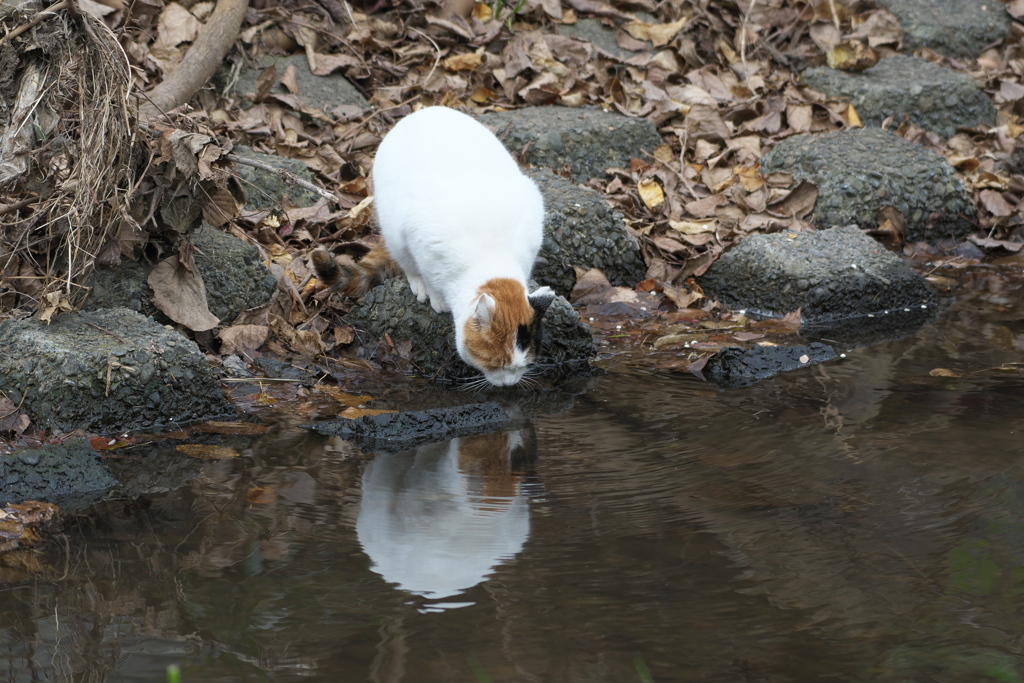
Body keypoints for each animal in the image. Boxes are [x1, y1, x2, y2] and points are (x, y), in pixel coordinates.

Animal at [311, 105, 557, 385]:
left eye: (523, 366)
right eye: (497, 364)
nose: (509, 383)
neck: (492, 258)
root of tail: (426, 109)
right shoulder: (421, 238)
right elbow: (429, 275)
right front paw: (436, 296)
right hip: (392, 226)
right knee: (404, 259)